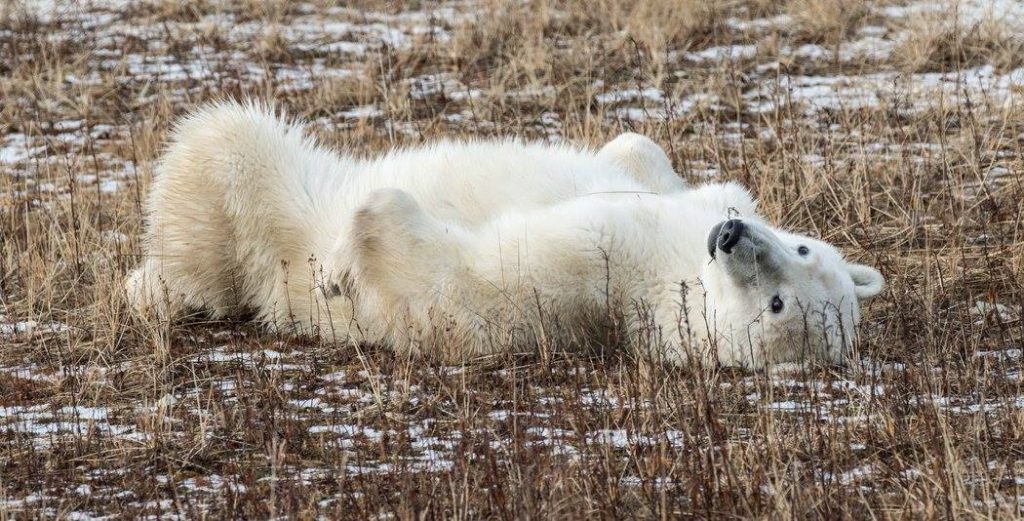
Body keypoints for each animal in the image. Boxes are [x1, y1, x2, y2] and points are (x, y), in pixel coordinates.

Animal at [126, 101, 884, 369]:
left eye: (778, 306)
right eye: (805, 248)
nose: (730, 237)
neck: (676, 265)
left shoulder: (599, 269)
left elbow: (465, 269)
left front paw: (340, 264)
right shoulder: (684, 198)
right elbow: (637, 152)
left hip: (268, 222)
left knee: (212, 185)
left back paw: (151, 286)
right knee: (223, 132)